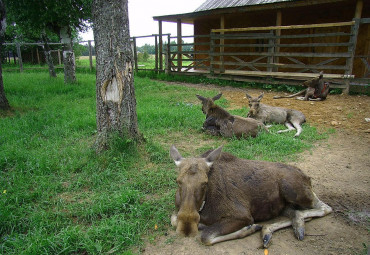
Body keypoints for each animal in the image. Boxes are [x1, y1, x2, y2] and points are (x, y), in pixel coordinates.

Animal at [170, 145, 332, 247]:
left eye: (204, 183)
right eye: (178, 181)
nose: (186, 227)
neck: (204, 206)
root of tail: (306, 177)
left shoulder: (243, 215)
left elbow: (206, 237)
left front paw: (249, 228)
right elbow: (173, 219)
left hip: (293, 190)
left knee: (325, 207)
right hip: (281, 204)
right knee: (294, 212)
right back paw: (273, 230)